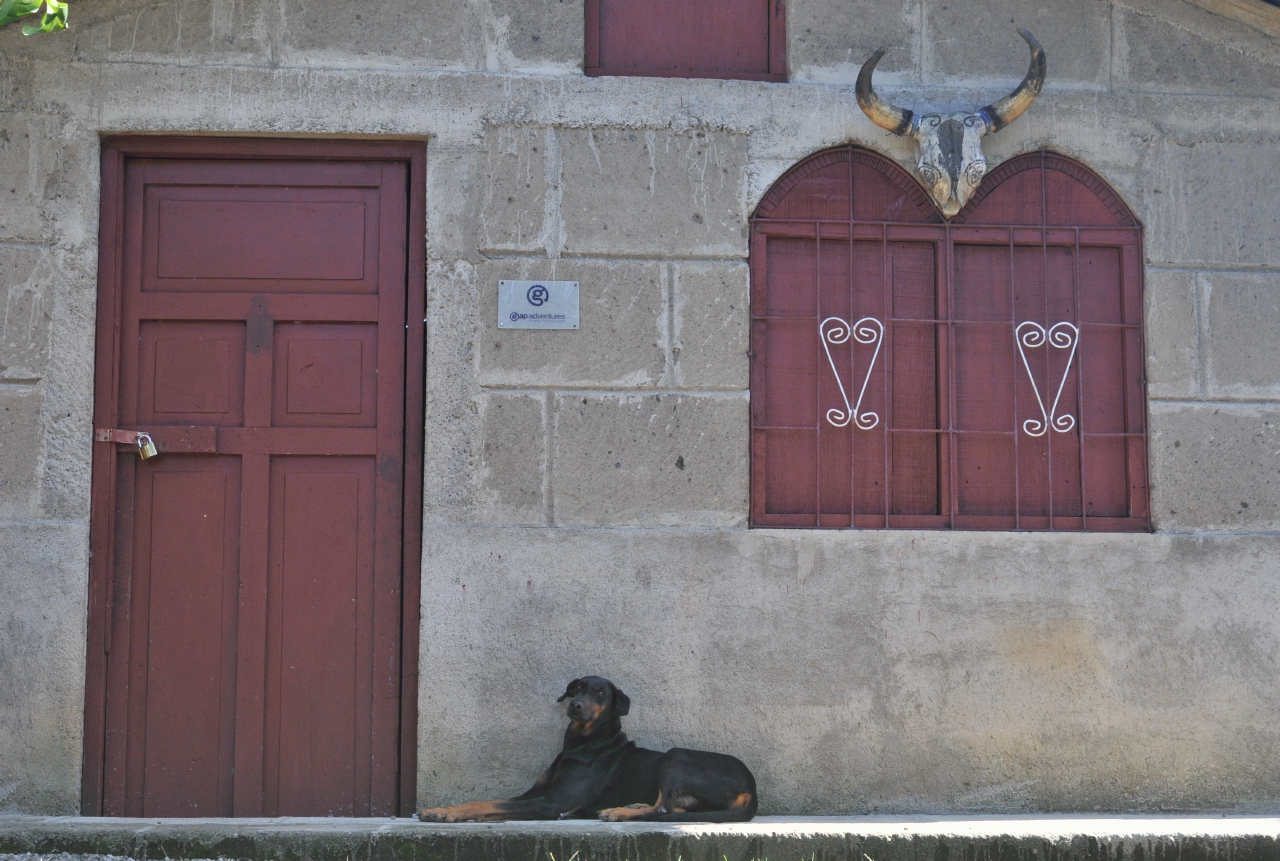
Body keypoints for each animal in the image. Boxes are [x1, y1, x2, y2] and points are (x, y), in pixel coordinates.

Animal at [419, 675, 757, 823]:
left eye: (600, 693)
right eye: (578, 688)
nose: (575, 705)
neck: (582, 743)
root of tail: (751, 788)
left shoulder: (555, 803)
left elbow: (492, 804)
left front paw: (446, 813)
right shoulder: (536, 794)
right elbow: (491, 802)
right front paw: (447, 810)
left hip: (675, 756)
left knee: (663, 808)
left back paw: (618, 812)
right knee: (672, 806)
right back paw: (634, 806)